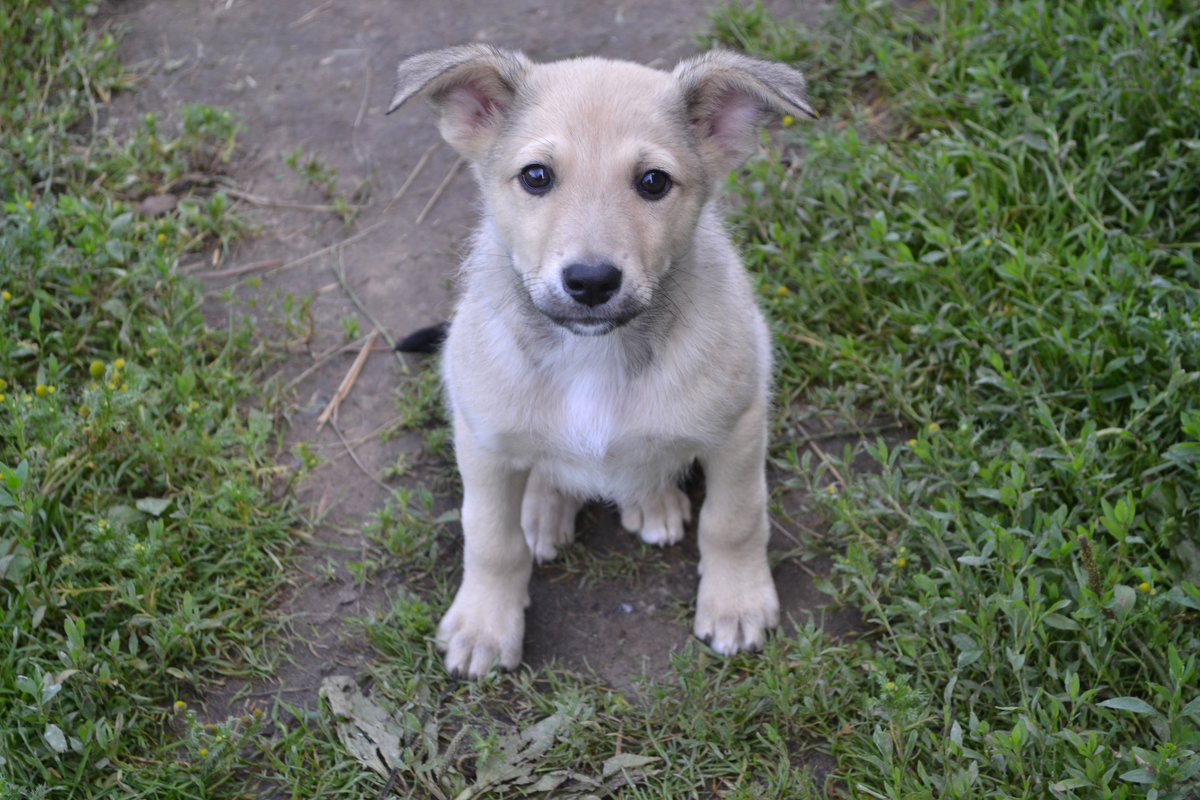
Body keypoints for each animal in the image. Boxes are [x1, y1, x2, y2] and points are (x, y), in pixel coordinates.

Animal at [388, 47, 811, 681]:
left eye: (653, 182)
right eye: (536, 176)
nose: (590, 282)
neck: (592, 353)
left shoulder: (738, 427)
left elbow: (735, 519)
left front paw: (735, 602)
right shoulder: (480, 439)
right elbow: (489, 538)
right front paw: (484, 623)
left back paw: (650, 499)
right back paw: (541, 509)